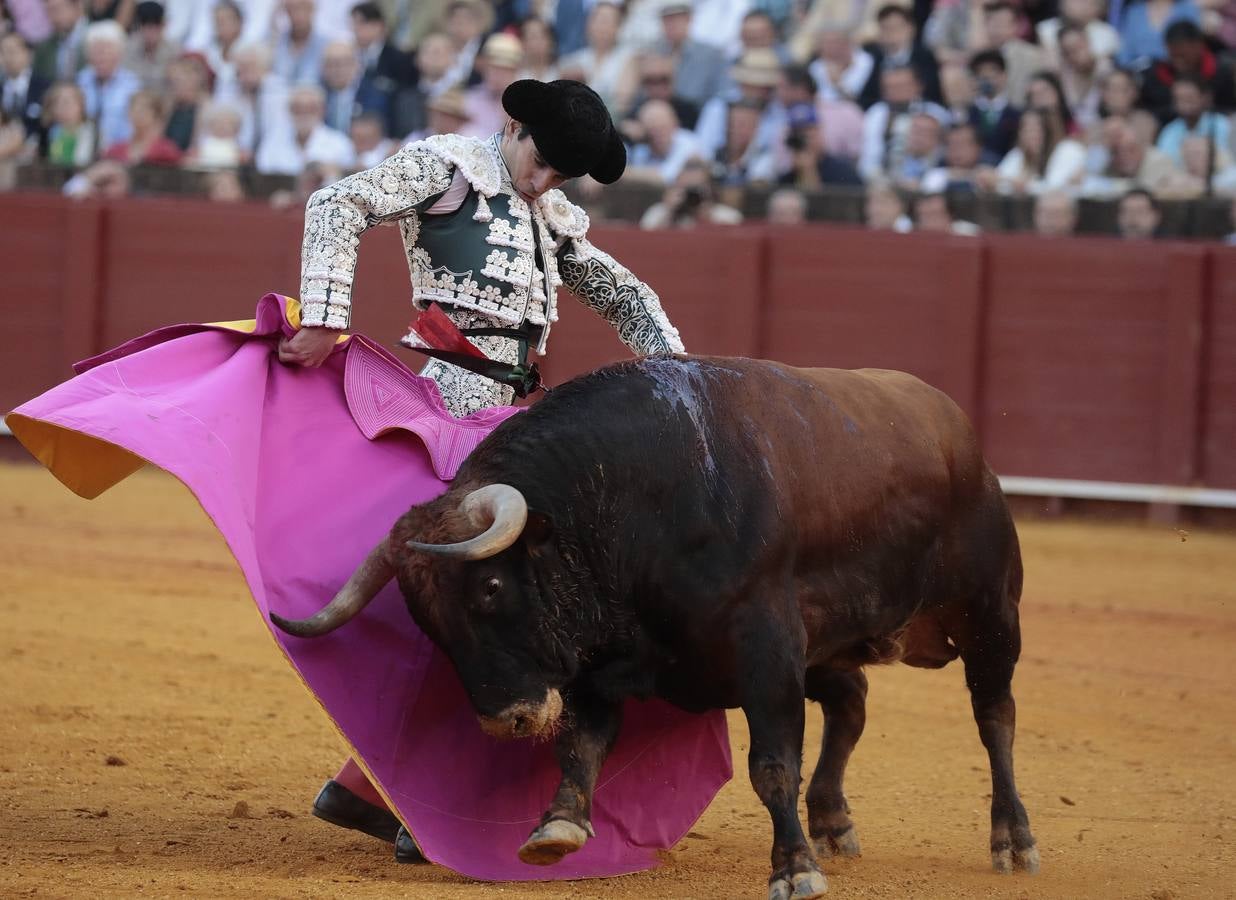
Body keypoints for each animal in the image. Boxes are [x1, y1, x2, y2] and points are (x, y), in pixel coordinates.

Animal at [268, 356, 1033, 900]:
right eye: (427, 623)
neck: (624, 508)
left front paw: (793, 871)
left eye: (490, 588)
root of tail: (958, 432)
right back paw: (835, 821)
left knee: (995, 716)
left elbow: (771, 764)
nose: (506, 721)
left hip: (992, 612)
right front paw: (557, 827)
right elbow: (580, 745)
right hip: (835, 643)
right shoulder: (600, 662)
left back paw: (1013, 839)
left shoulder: (767, 648)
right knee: (852, 703)